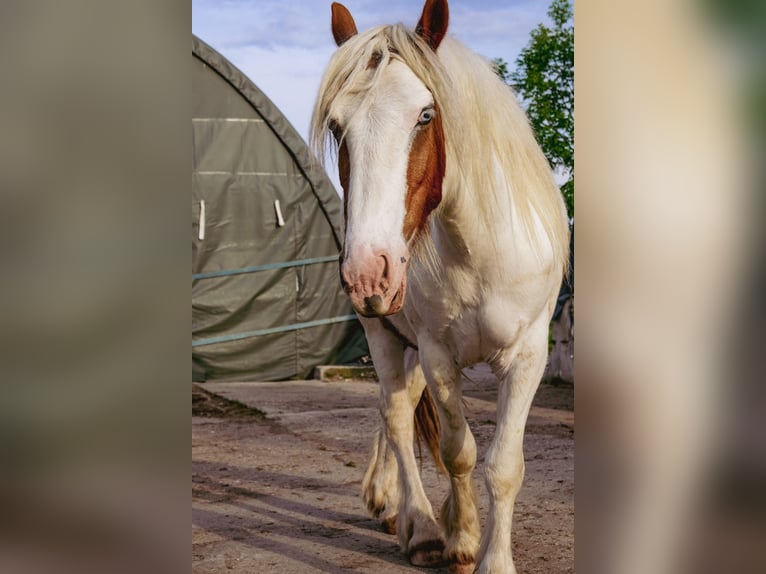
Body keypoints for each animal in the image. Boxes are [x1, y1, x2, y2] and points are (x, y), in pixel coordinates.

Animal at [310, 2, 568, 572]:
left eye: (425, 116)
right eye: (337, 126)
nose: (369, 271)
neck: (479, 252)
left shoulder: (528, 356)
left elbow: (503, 464)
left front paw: (494, 557)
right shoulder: (436, 354)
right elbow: (458, 450)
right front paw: (462, 537)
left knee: (398, 408)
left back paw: (390, 503)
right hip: (384, 334)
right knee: (396, 417)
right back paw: (420, 525)